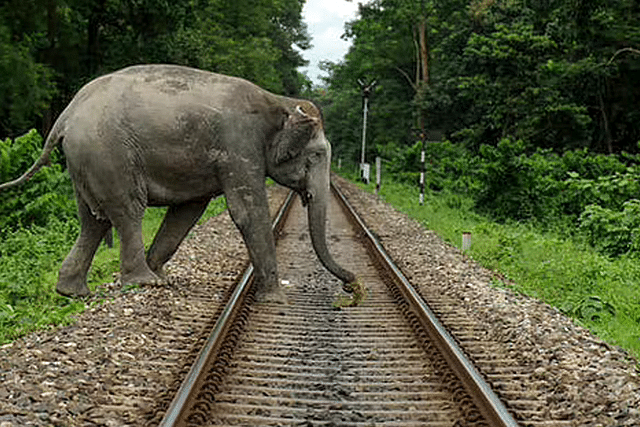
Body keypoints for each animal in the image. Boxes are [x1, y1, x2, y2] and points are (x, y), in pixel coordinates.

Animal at [0, 64, 358, 304]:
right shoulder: (239, 145)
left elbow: (188, 211)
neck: (278, 102)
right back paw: (144, 282)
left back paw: (74, 291)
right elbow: (247, 211)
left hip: (86, 160)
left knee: (93, 220)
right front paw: (275, 297)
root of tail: (66, 115)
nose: (352, 286)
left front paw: (162, 270)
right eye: (316, 155)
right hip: (108, 153)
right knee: (128, 211)